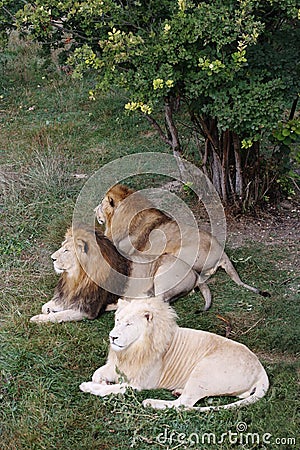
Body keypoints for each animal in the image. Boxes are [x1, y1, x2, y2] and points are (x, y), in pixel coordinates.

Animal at [29, 227, 202, 322]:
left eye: (66, 250)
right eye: (62, 247)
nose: (52, 258)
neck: (76, 277)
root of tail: (194, 272)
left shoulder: (88, 310)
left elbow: (59, 316)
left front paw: (38, 319)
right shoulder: (70, 295)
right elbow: (47, 307)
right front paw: (49, 310)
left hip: (163, 274)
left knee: (158, 301)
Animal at [79, 298, 270, 412]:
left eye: (129, 324)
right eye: (117, 320)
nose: (112, 337)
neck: (133, 349)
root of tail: (261, 369)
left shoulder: (138, 384)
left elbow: (111, 389)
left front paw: (89, 386)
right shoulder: (121, 366)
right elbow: (98, 373)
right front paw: (101, 380)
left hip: (203, 370)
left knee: (184, 405)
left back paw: (152, 402)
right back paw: (178, 391)